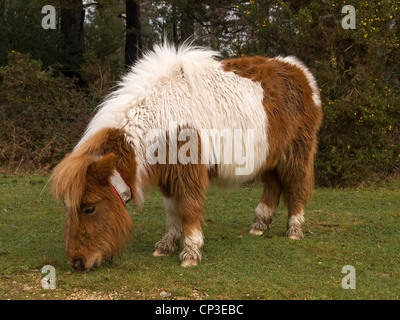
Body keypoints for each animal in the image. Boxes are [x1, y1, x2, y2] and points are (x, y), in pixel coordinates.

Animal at [51, 43, 324, 270]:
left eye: (89, 208)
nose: (77, 262)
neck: (161, 115)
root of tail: (300, 72)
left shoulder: (188, 171)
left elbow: (189, 207)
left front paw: (191, 252)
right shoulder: (167, 173)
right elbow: (172, 210)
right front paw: (167, 244)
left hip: (296, 152)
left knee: (295, 185)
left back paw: (294, 229)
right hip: (268, 156)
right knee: (273, 186)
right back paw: (260, 224)